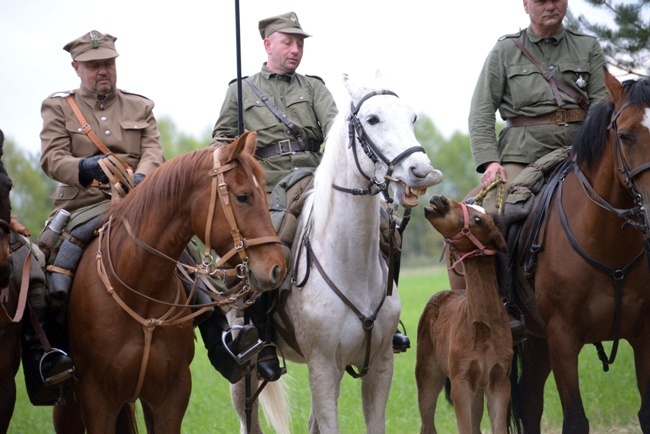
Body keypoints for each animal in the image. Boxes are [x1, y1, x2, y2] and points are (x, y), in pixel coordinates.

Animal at [228, 72, 440, 434]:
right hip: (243, 374)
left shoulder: (379, 367)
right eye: (372, 118)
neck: (351, 265)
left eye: (412, 117)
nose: (422, 172)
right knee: (248, 420)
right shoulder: (323, 366)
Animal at [416, 196, 512, 434]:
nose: (439, 200)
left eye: (478, 219)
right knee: (427, 424)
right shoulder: (460, 383)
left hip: (477, 389)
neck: (484, 326)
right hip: (427, 375)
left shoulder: (499, 381)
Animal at [508, 69, 648, 432]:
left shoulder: (645, 332)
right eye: (624, 136)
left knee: (529, 401)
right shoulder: (562, 337)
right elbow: (574, 420)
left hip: (537, 341)